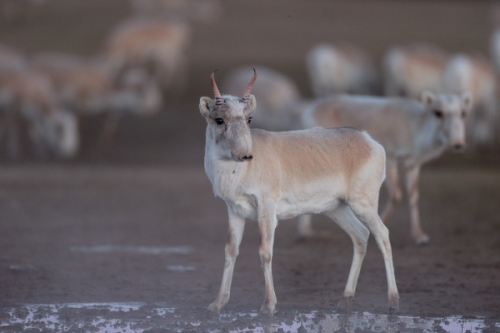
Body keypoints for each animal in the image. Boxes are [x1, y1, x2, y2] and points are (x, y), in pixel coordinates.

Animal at [199, 69, 398, 314]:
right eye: (219, 119)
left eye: (249, 119)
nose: (245, 155)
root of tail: (368, 140)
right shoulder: (235, 211)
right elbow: (230, 251)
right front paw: (217, 303)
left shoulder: (267, 208)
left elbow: (265, 252)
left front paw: (268, 305)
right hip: (337, 209)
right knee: (360, 236)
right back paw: (345, 299)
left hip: (363, 205)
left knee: (383, 235)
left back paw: (393, 301)